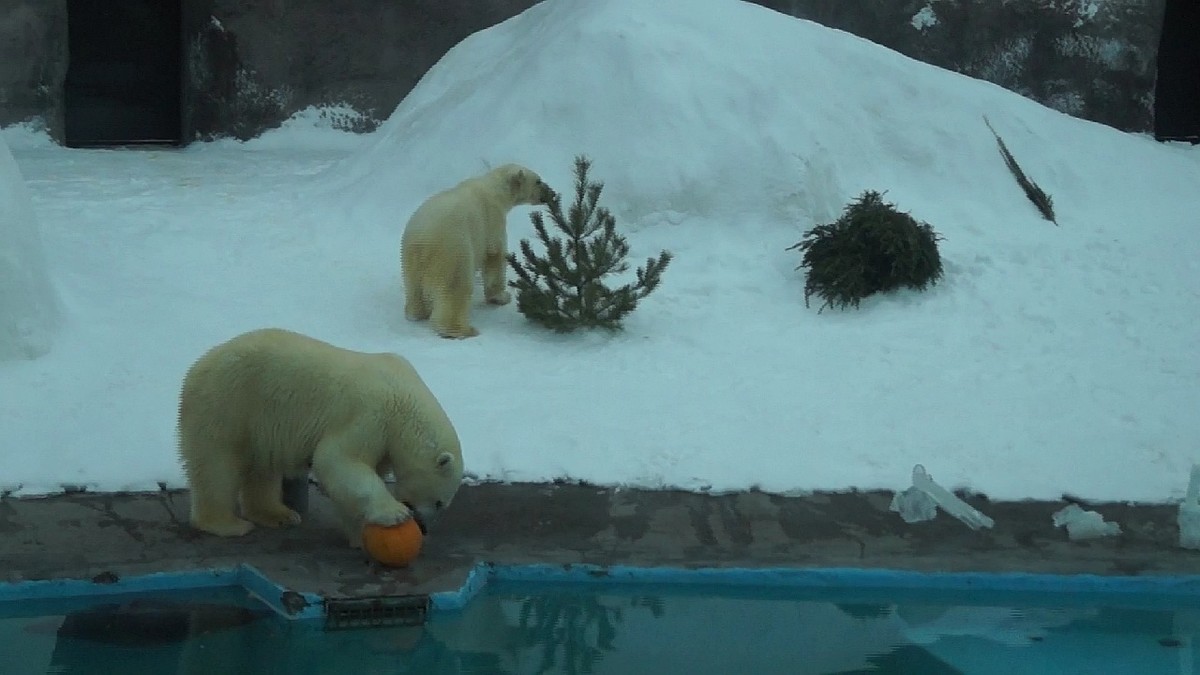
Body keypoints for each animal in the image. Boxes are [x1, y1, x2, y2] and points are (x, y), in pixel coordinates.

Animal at [177, 326, 463, 547]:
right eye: (440, 502)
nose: (424, 527)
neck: (403, 398)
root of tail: (196, 369)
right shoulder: (370, 415)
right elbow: (338, 459)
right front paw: (394, 513)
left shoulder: (384, 438)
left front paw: (358, 534)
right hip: (228, 404)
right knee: (216, 466)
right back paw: (227, 524)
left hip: (257, 422)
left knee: (262, 467)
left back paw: (278, 514)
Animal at [400, 164, 554, 336]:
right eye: (538, 181)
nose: (552, 193)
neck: (494, 187)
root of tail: (422, 240)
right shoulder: (492, 219)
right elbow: (494, 255)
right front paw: (502, 297)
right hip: (453, 249)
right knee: (456, 286)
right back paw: (462, 330)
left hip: (408, 258)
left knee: (414, 288)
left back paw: (416, 313)